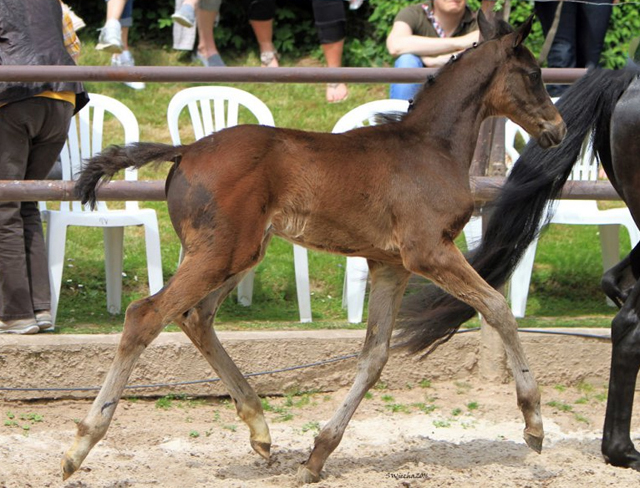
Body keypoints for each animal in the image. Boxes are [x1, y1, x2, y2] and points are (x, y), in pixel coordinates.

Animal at [63, 12, 564, 484]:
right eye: (534, 73)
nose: (558, 129)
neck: (430, 147)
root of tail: (185, 150)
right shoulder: (429, 251)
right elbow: (498, 307)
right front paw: (534, 423)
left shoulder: (390, 265)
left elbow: (375, 356)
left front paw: (318, 455)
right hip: (221, 253)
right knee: (145, 315)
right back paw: (79, 447)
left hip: (238, 254)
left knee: (195, 317)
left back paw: (260, 429)